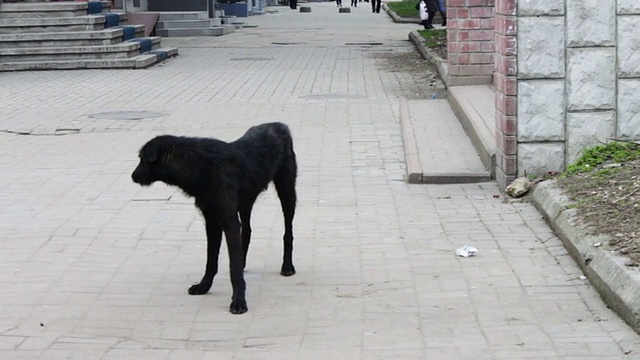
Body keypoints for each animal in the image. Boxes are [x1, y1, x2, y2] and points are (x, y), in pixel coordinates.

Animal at [134, 122, 298, 314]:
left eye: (142, 159)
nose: (132, 176)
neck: (197, 164)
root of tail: (279, 125)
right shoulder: (211, 221)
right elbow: (211, 260)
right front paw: (204, 286)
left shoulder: (229, 222)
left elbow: (233, 270)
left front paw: (238, 301)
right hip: (246, 201)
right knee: (247, 231)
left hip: (287, 191)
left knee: (288, 232)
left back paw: (287, 266)